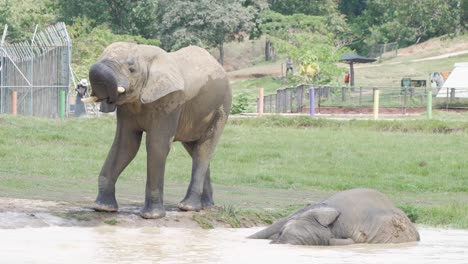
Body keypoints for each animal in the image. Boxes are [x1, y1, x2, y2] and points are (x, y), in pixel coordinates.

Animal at [83, 41, 232, 219]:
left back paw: (188, 207)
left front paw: (151, 216)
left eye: (131, 69)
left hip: (222, 108)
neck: (145, 54)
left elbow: (156, 145)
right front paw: (103, 208)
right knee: (195, 150)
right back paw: (205, 206)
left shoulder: (170, 101)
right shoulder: (127, 108)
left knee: (203, 151)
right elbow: (125, 145)